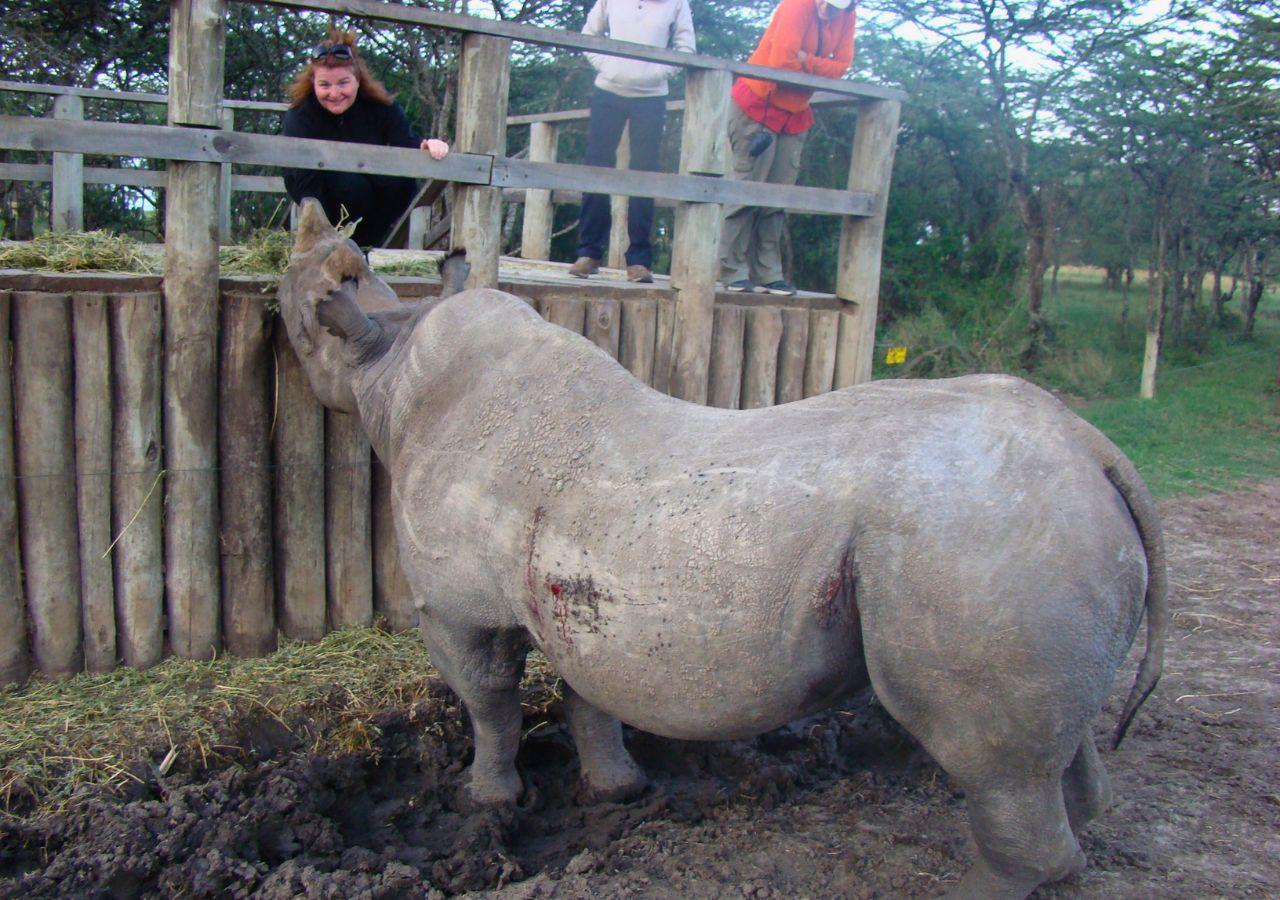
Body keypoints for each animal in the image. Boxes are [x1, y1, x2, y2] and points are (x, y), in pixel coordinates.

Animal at [278, 199, 1167, 899]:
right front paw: (616, 792)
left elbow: (489, 704)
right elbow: (590, 697)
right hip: (1034, 538)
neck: (391, 356)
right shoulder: (577, 585)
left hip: (973, 542)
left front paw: (487, 805)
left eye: (296, 319)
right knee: (1055, 754)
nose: (277, 283)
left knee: (992, 763)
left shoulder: (459, 608)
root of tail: (1093, 449)